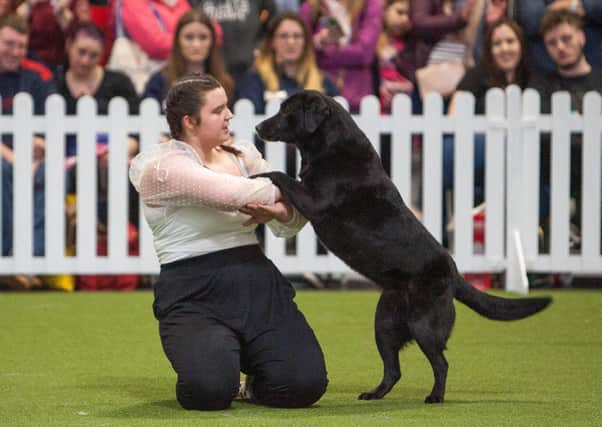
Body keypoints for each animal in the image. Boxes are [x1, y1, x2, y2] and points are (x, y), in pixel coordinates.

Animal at [251, 90, 552, 404]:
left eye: (287, 111)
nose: (258, 127)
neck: (329, 147)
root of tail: (454, 275)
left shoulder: (314, 201)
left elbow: (281, 175)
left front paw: (256, 178)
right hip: (383, 323)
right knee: (393, 369)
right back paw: (375, 394)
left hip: (424, 325)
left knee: (441, 362)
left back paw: (435, 396)